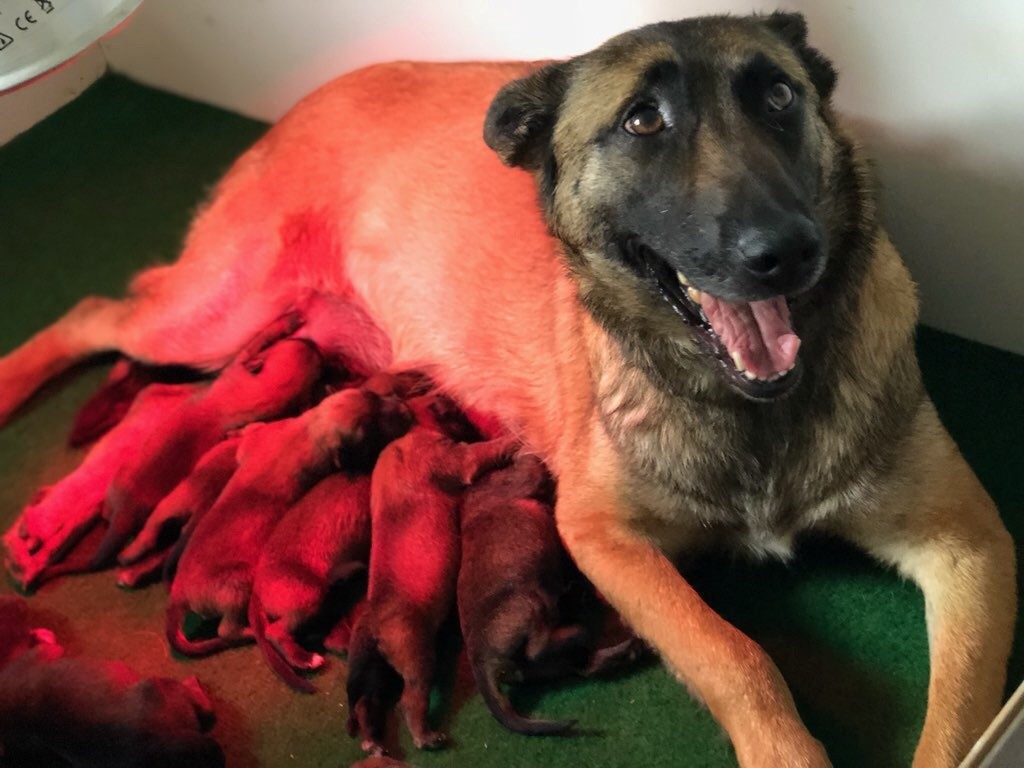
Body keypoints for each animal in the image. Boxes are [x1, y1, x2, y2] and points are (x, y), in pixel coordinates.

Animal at [163, 372, 411, 655]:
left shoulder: (262, 436)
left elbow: (252, 433)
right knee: (228, 630)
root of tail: (178, 594)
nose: (406, 407)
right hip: (238, 585)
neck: (310, 430)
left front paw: (237, 432)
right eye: (371, 429)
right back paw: (251, 632)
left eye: (374, 396)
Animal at [346, 397, 520, 757]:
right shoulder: (460, 458)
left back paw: (374, 742)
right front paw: (510, 440)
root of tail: (374, 622)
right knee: (410, 700)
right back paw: (426, 735)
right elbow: (483, 451)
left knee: (367, 705)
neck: (409, 429)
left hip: (376, 671)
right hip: (417, 657)